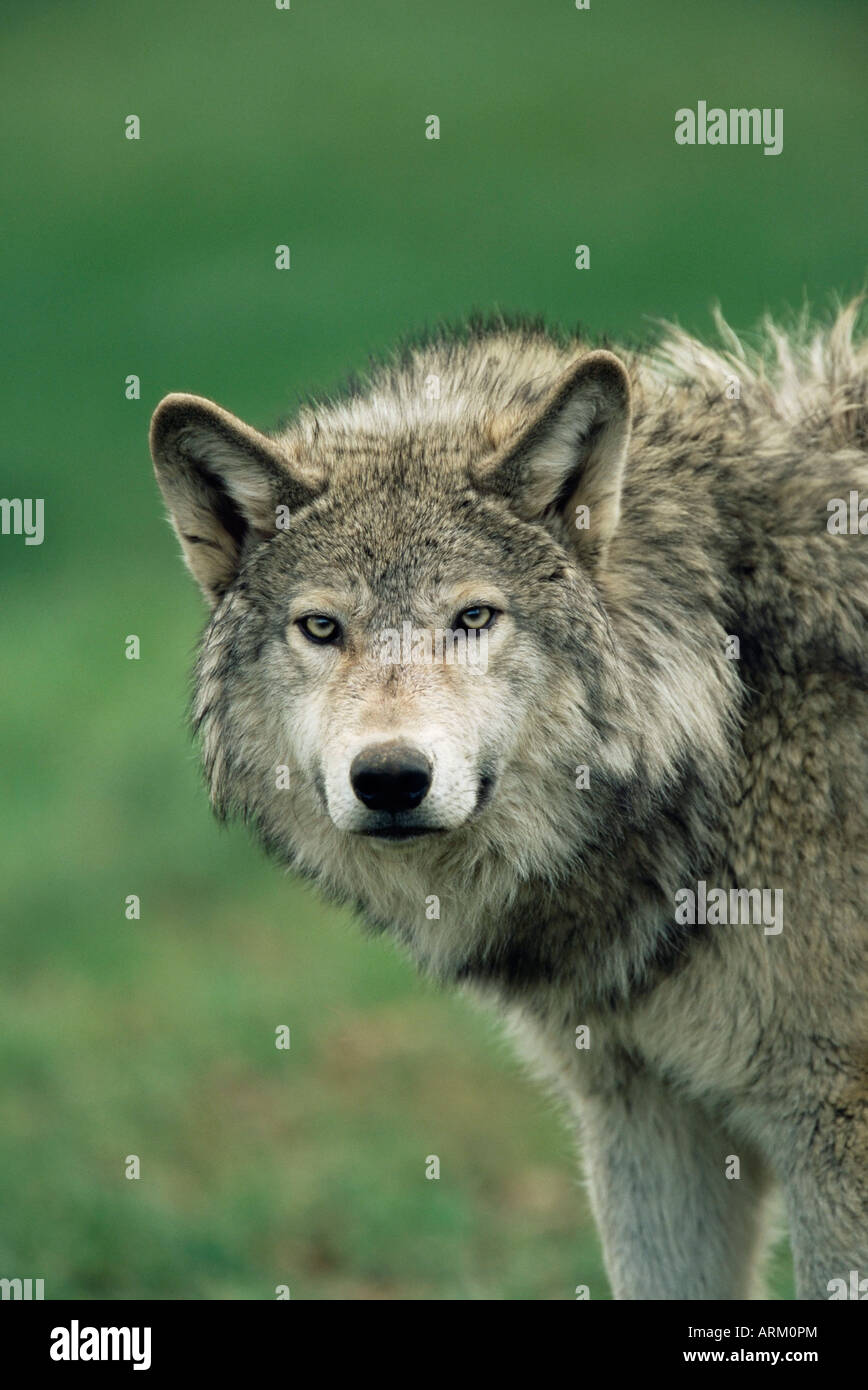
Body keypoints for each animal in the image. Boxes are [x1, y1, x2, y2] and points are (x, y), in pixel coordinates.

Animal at [150, 304, 868, 1301]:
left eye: (474, 618)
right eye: (322, 627)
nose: (390, 777)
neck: (732, 709)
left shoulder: (830, 1123)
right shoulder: (643, 1113)